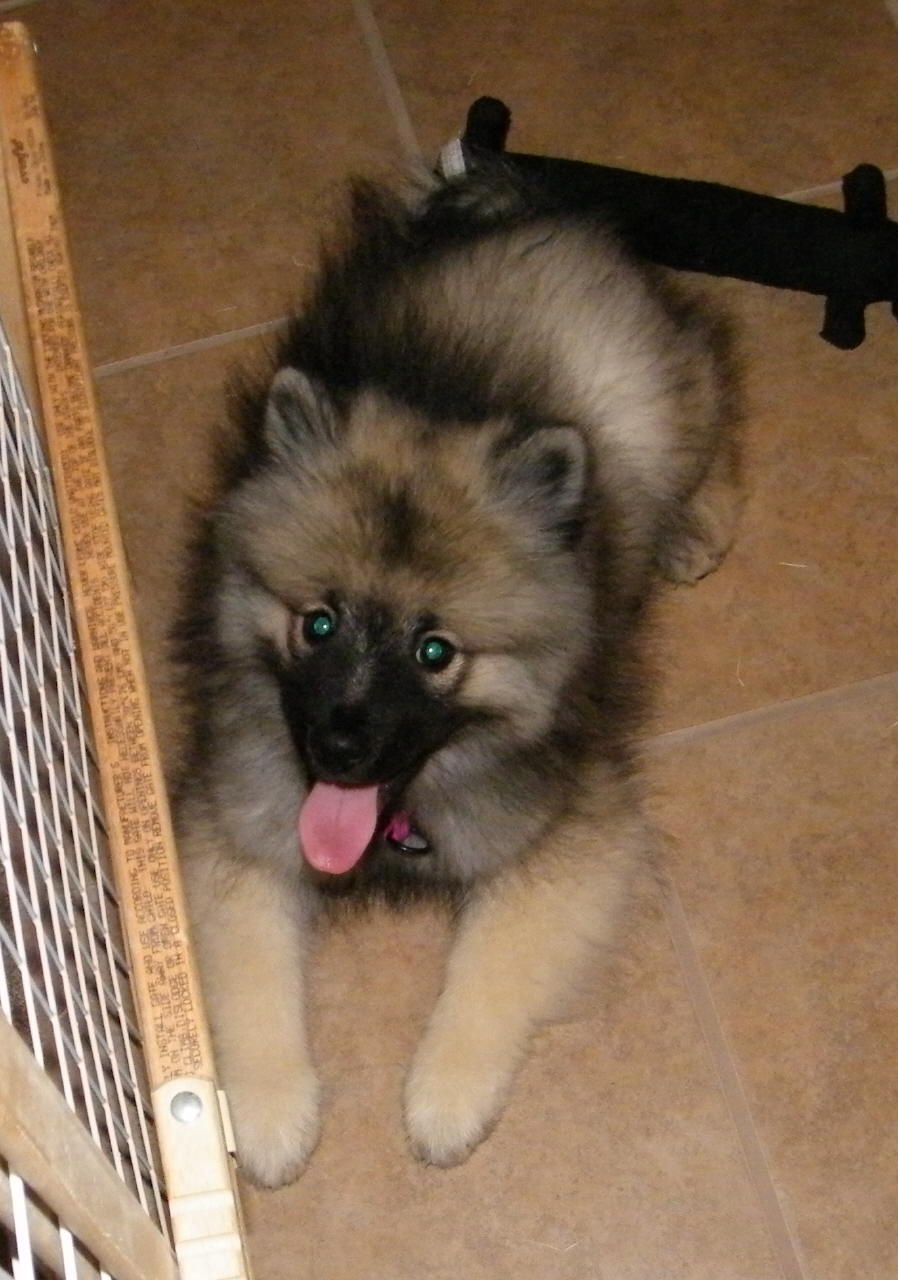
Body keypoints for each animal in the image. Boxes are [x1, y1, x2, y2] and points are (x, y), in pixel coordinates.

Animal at [172, 165, 741, 1187]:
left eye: (436, 652)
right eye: (317, 623)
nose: (338, 745)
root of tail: (514, 209)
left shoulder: (570, 835)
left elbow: (489, 972)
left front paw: (444, 1100)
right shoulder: (231, 822)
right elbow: (251, 980)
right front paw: (271, 1116)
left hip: (652, 405)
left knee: (715, 394)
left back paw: (699, 525)